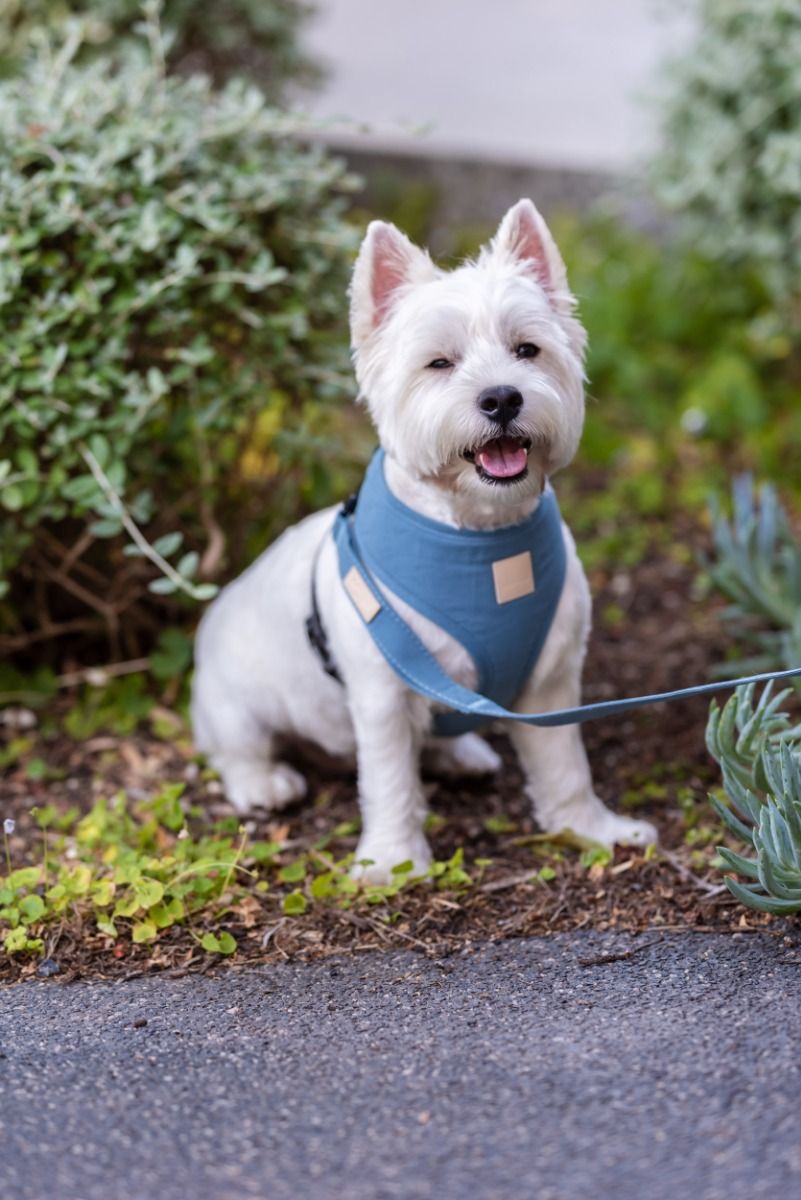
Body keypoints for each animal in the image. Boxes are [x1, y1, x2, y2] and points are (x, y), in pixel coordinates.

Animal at [191, 199, 657, 883]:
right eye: (439, 363)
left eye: (527, 350)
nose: (501, 397)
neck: (482, 538)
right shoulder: (382, 694)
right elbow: (389, 779)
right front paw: (392, 861)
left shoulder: (550, 682)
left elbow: (566, 764)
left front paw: (591, 828)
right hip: (236, 700)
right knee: (238, 748)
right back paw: (265, 782)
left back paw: (461, 754)